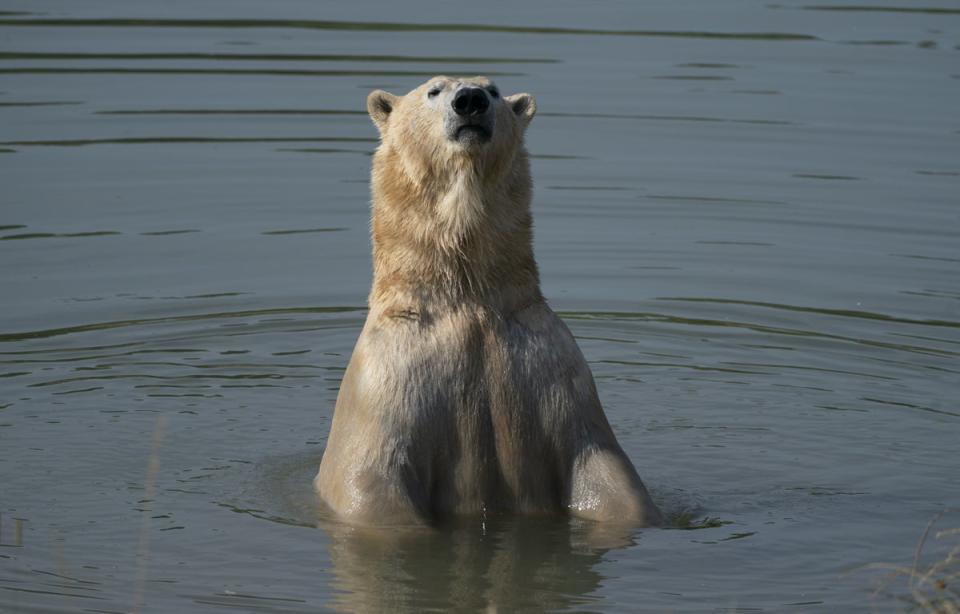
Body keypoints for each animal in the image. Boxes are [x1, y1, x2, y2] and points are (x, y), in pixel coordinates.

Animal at [316, 76, 660, 528]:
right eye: (433, 90)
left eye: (493, 90)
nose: (470, 101)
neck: (466, 296)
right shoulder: (387, 383)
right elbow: (373, 488)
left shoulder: (553, 374)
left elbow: (605, 473)